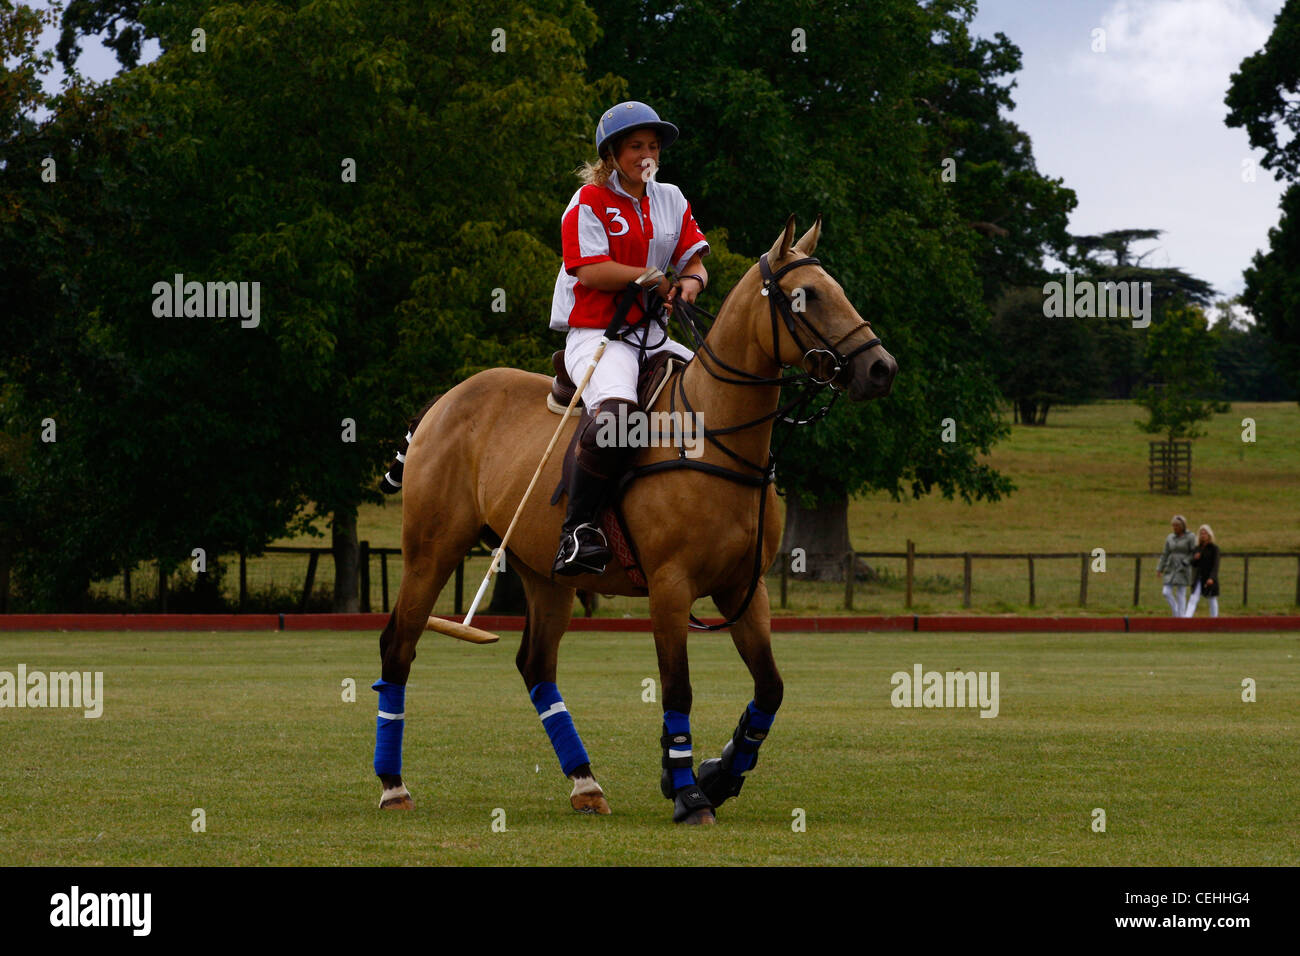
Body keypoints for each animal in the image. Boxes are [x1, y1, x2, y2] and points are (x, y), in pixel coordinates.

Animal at [371, 214, 899, 822]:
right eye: (803, 296)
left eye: (838, 289)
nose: (881, 368)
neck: (715, 437)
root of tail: (441, 402)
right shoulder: (670, 586)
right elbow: (678, 689)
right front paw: (688, 791)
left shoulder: (745, 588)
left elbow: (770, 688)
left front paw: (719, 773)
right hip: (431, 548)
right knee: (399, 644)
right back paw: (393, 785)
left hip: (543, 571)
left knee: (536, 664)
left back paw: (585, 783)